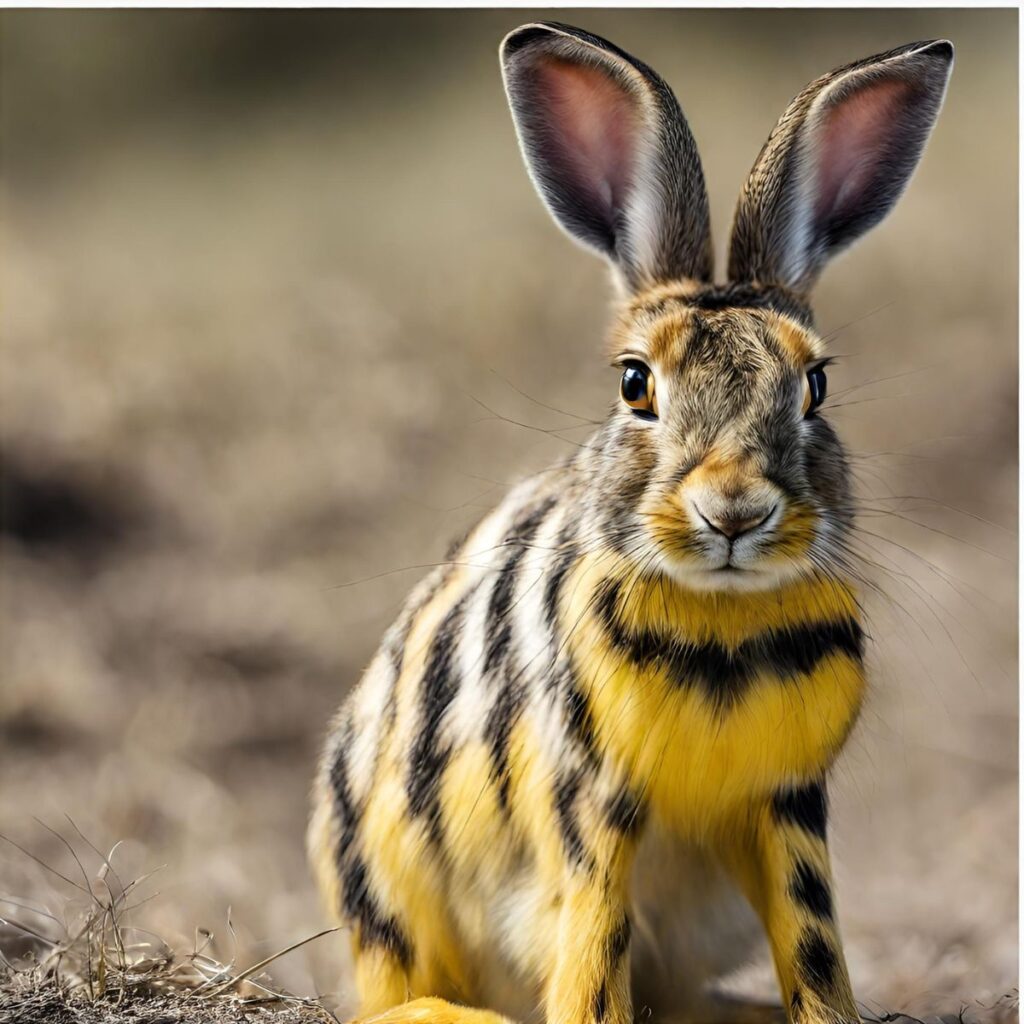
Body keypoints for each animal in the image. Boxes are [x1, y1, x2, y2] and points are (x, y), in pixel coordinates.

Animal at [308, 22, 953, 1024]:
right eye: (634, 383)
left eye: (815, 385)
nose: (734, 509)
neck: (723, 624)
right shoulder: (592, 801)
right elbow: (595, 938)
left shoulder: (787, 807)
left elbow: (812, 942)